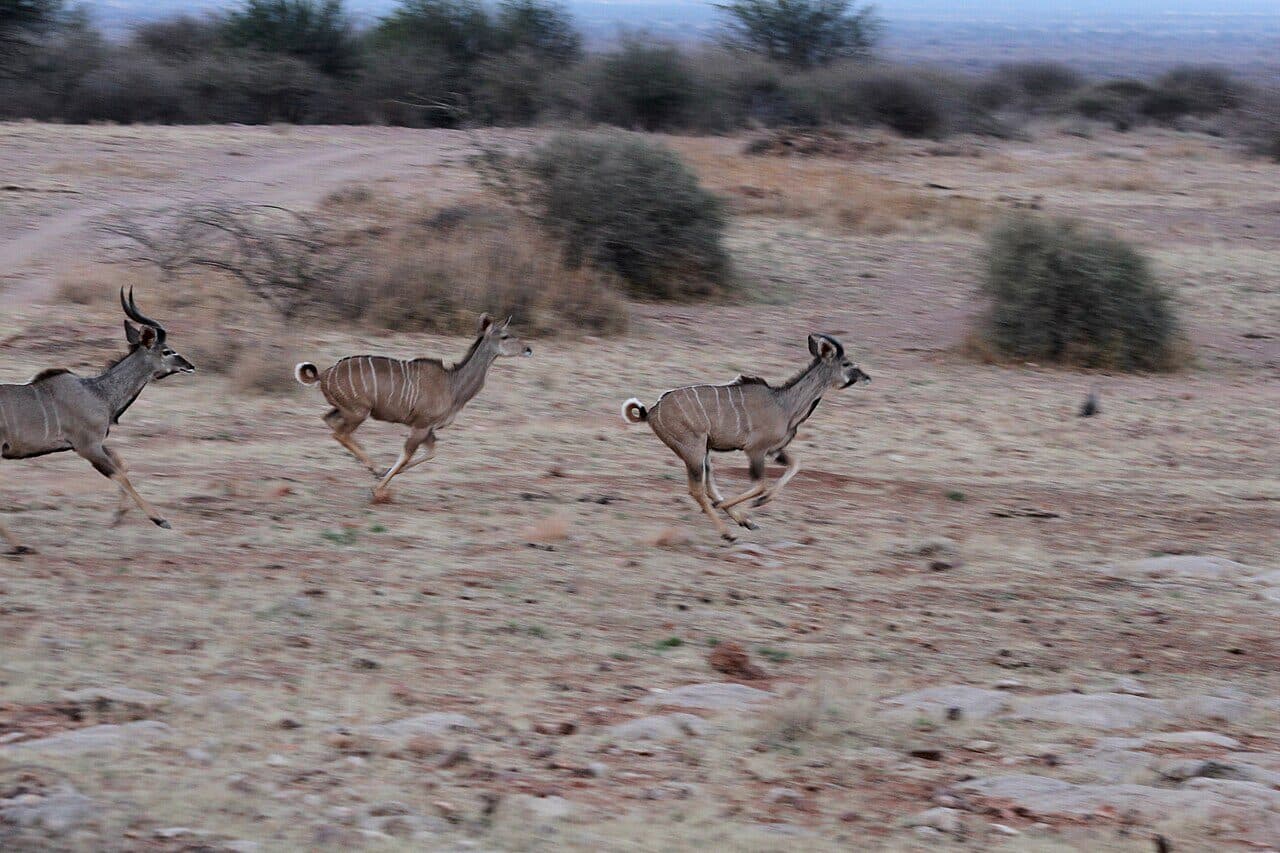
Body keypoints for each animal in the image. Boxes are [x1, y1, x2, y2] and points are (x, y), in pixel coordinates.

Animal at [0, 289, 196, 554]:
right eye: (167, 351)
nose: (190, 366)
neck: (99, 393)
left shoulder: (95, 444)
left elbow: (123, 465)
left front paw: (118, 516)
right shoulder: (87, 447)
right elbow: (120, 474)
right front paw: (160, 519)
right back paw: (19, 545)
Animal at [295, 313, 532, 500]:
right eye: (505, 336)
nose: (529, 349)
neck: (453, 384)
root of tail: (323, 375)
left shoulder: (428, 429)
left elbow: (430, 453)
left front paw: (383, 474)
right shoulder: (421, 425)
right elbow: (407, 455)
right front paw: (378, 488)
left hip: (346, 410)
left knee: (329, 421)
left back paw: (374, 467)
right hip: (358, 412)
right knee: (339, 433)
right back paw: (374, 468)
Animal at [622, 334, 870, 541]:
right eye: (846, 363)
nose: (867, 377)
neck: (784, 404)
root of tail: (651, 412)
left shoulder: (774, 450)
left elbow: (795, 465)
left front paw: (759, 504)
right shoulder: (755, 450)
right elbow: (760, 484)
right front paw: (753, 504)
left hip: (704, 451)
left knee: (708, 486)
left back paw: (743, 522)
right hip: (693, 449)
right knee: (697, 490)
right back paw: (728, 532)